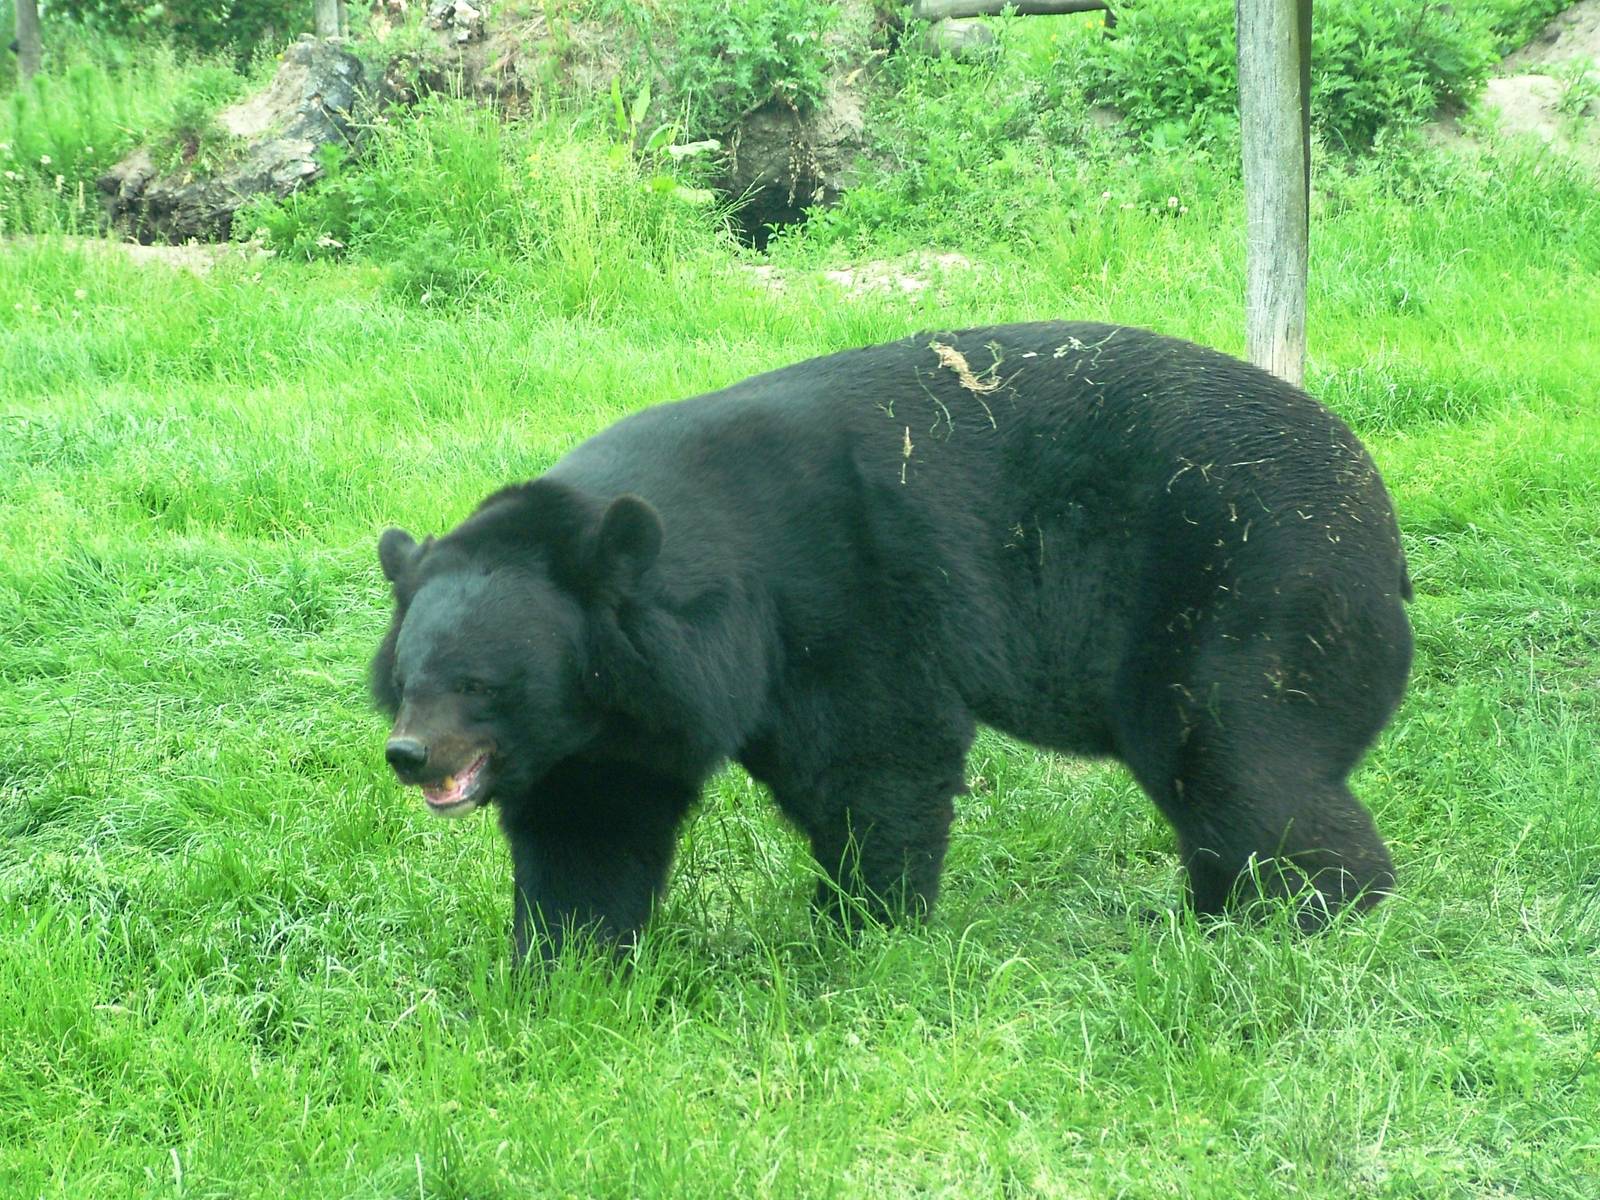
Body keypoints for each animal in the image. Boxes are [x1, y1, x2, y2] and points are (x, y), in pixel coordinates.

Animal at [370, 321, 1413, 964]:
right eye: (408, 678)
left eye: (480, 683)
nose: (411, 754)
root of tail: (1381, 521)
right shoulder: (607, 727)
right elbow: (590, 828)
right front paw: (566, 963)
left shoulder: (835, 594)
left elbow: (876, 754)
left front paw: (862, 924)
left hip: (1247, 591)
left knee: (1239, 760)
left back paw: (1304, 914)